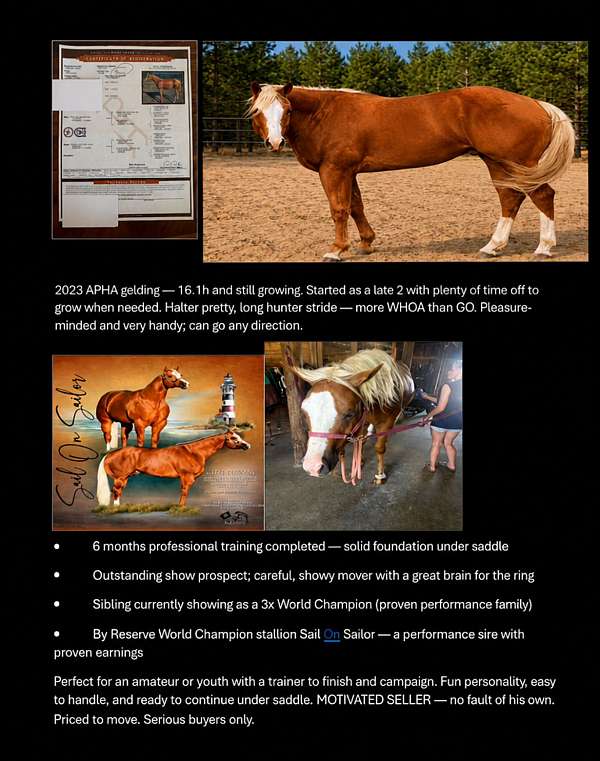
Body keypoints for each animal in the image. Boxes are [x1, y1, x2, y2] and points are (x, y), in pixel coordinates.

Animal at [96, 429, 251, 508]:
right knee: (116, 491)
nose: (247, 445)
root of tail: (111, 453)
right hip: (120, 477)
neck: (194, 452)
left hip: (124, 478)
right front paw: (181, 508)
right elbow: (184, 492)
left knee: (118, 491)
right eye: (234, 438)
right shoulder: (187, 477)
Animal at [247, 83, 576, 261]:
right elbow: (356, 206)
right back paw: (492, 247)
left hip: (518, 163)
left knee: (542, 196)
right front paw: (366, 243)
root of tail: (537, 104)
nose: (274, 142)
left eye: (288, 111)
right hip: (497, 163)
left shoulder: (334, 170)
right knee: (510, 199)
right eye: (258, 112)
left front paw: (337, 250)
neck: (325, 114)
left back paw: (544, 248)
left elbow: (339, 209)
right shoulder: (350, 172)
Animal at [286, 348, 414, 485]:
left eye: (349, 414)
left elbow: (379, 448)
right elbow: (361, 442)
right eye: (304, 412)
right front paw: (359, 462)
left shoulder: (385, 423)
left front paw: (380, 476)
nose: (313, 466)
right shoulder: (362, 421)